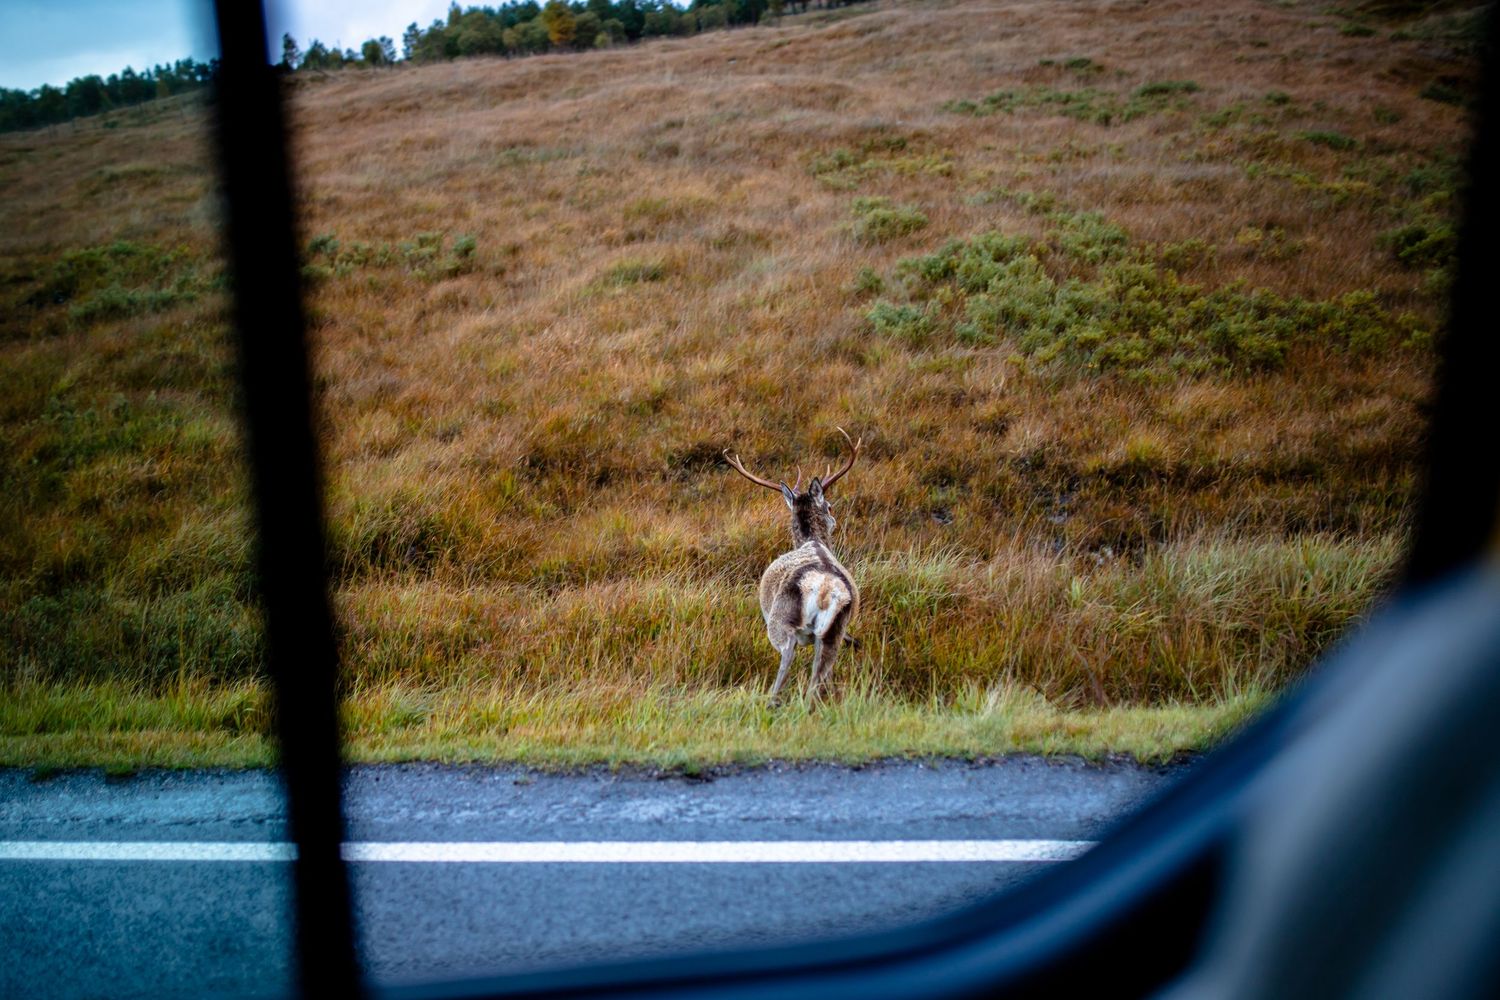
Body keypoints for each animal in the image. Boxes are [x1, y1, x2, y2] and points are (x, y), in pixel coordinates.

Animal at [723, 428, 862, 704]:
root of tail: (825, 589)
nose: (834, 520)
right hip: (833, 632)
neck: (812, 541)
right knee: (819, 676)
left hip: (780, 618)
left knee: (788, 653)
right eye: (830, 506)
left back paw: (772, 700)